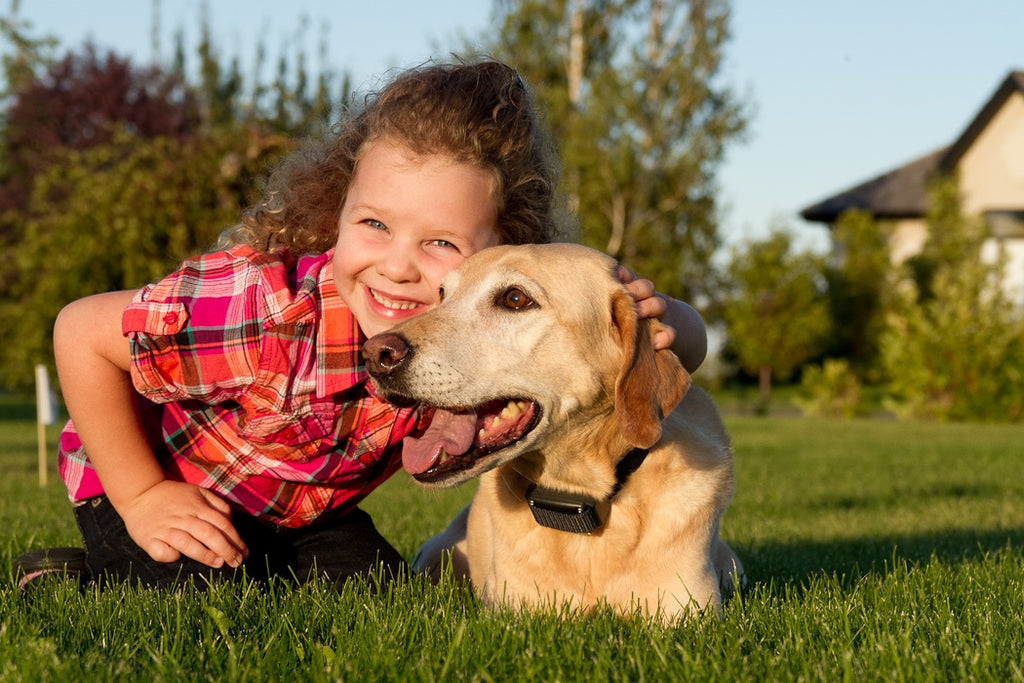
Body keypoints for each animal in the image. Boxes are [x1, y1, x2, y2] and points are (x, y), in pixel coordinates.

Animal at [364, 242, 741, 622]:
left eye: (515, 299)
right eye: (442, 294)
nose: (376, 354)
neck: (578, 497)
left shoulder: (687, 614)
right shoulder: (513, 613)